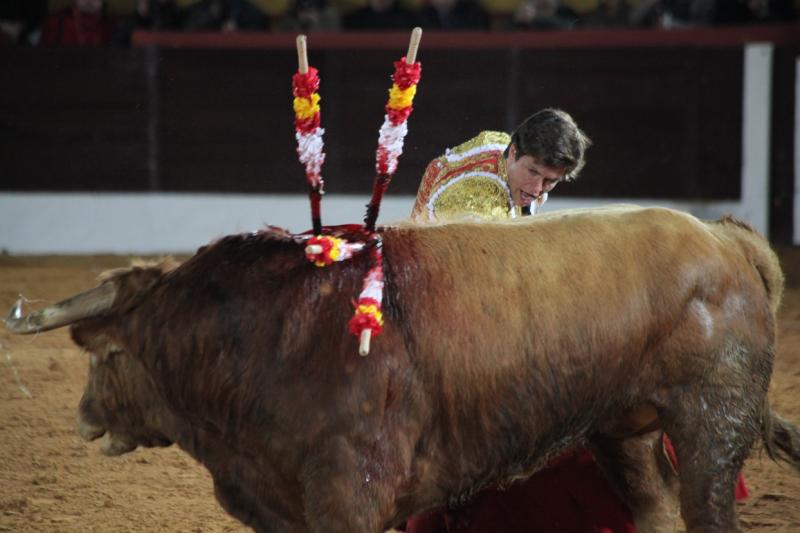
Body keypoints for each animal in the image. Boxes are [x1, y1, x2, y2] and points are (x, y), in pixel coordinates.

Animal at [4, 205, 800, 532]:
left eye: (106, 356)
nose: (82, 417)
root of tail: (723, 238)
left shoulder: (347, 496)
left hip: (711, 429)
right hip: (623, 432)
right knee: (654, 509)